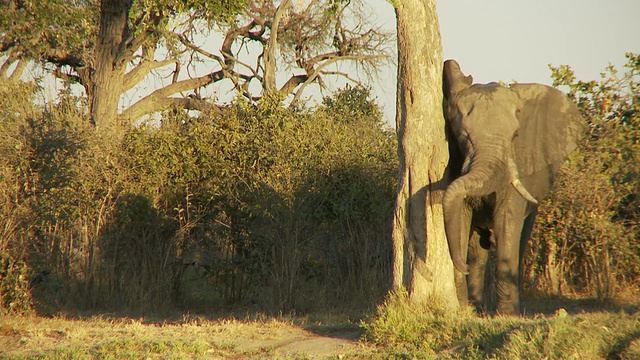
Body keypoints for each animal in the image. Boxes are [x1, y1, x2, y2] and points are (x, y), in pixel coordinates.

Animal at [440, 59, 584, 316]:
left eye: (516, 135)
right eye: (463, 136)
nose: (461, 266)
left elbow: (508, 221)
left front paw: (506, 315)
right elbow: (461, 219)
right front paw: (464, 308)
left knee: (520, 238)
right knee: (478, 251)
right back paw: (477, 307)